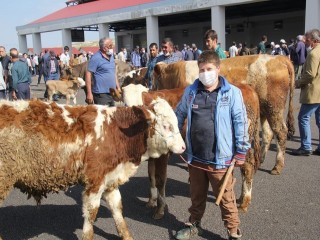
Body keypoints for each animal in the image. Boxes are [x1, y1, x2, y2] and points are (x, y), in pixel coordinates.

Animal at [153, 54, 296, 175]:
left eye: (155, 80)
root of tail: (279, 58)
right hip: (265, 110)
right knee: (268, 133)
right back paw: (261, 160)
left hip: (275, 108)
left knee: (281, 132)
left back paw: (277, 167)